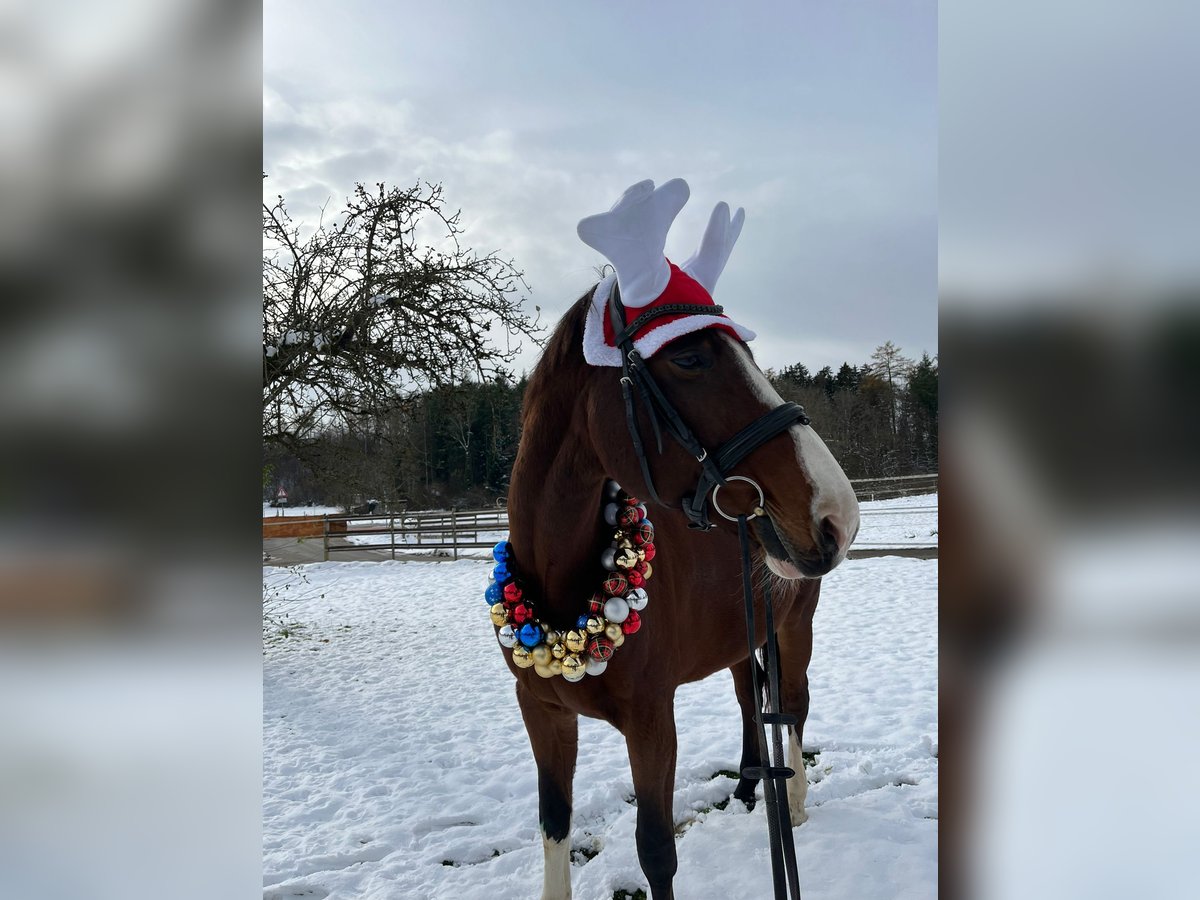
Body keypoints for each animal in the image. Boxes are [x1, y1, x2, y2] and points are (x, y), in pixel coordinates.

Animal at [492, 180, 859, 897]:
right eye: (689, 357)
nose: (837, 513)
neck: (565, 589)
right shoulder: (542, 714)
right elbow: (554, 828)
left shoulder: (652, 721)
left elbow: (656, 849)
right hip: (747, 632)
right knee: (751, 700)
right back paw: (748, 790)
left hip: (794, 627)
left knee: (792, 706)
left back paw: (796, 804)